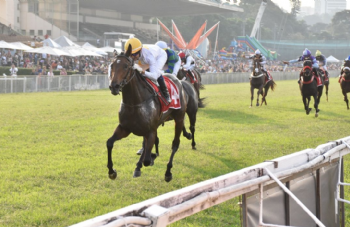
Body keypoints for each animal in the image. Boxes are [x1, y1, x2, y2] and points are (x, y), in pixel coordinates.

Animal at [108, 45, 196, 182]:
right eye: (112, 65)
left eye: (126, 66)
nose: (114, 86)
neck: (135, 102)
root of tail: (179, 81)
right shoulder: (125, 128)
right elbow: (110, 143)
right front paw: (112, 171)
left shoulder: (150, 130)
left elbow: (148, 159)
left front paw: (152, 157)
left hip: (180, 117)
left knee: (175, 144)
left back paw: (168, 171)